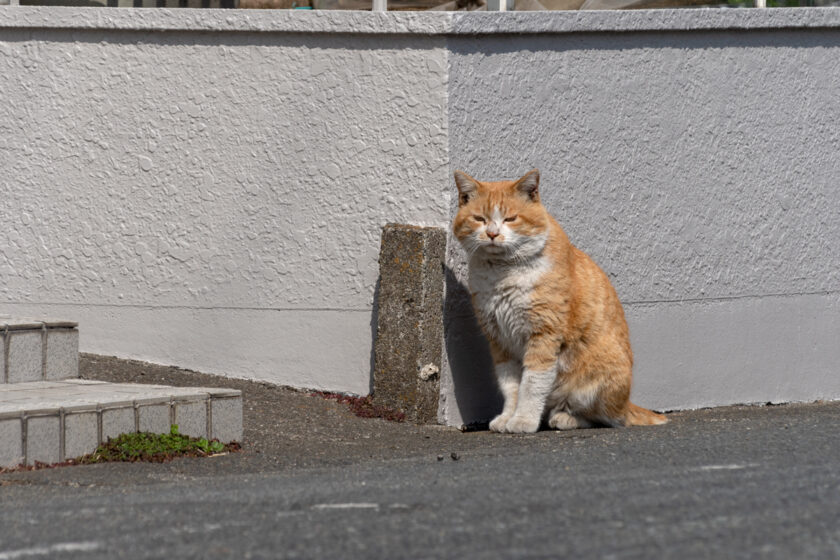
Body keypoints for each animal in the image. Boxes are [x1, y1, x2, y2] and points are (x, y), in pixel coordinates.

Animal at [456, 170, 668, 434]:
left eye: (510, 218)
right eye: (479, 219)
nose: (492, 234)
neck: (501, 274)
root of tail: (626, 403)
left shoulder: (544, 334)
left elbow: (531, 385)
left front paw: (523, 421)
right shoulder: (499, 340)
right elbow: (510, 386)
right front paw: (507, 418)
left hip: (594, 381)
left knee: (603, 419)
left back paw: (564, 418)